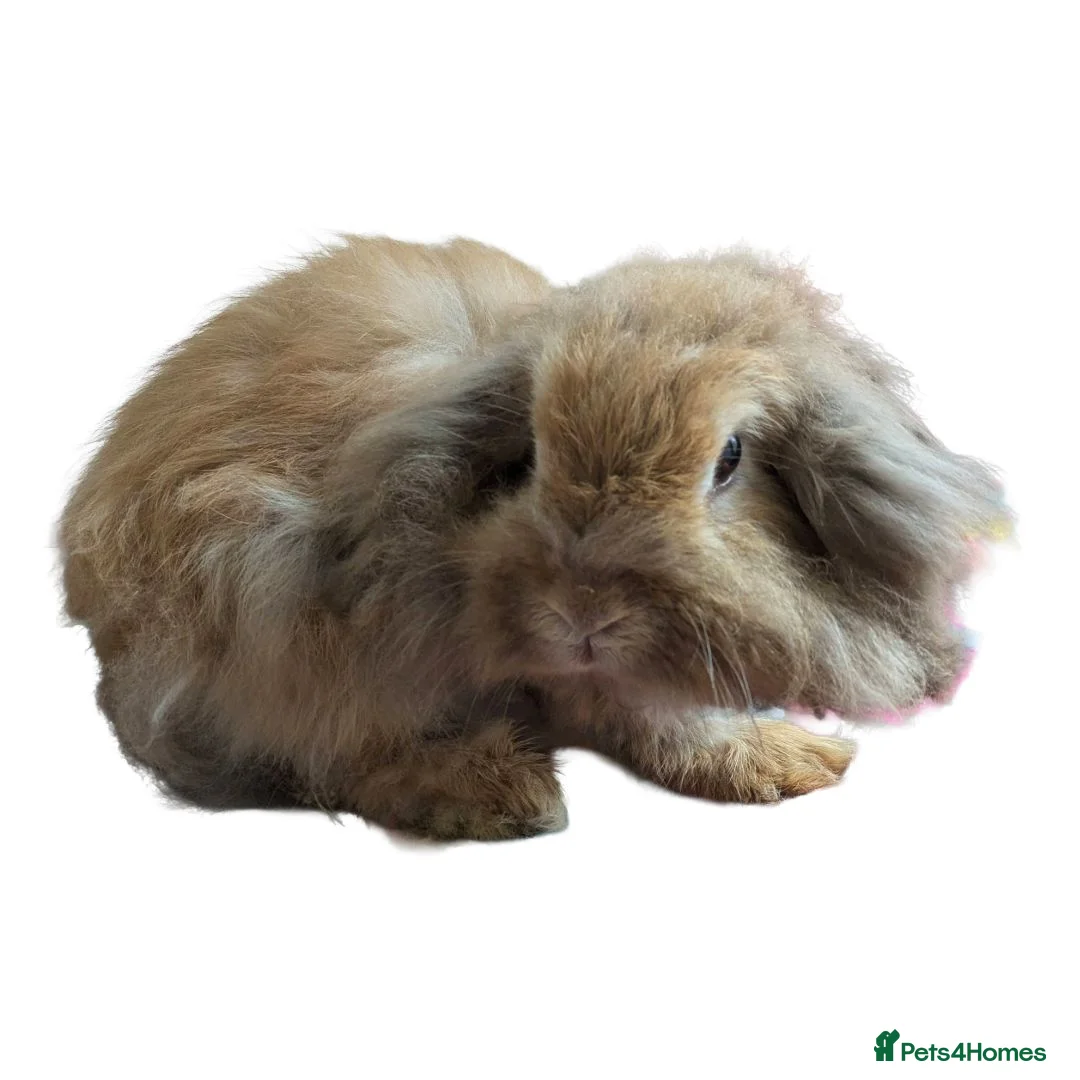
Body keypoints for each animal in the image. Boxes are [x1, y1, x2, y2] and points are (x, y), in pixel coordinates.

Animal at [58, 236, 1009, 840]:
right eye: (532, 456)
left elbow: (661, 717)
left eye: (731, 459)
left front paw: (780, 760)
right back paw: (500, 794)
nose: (582, 616)